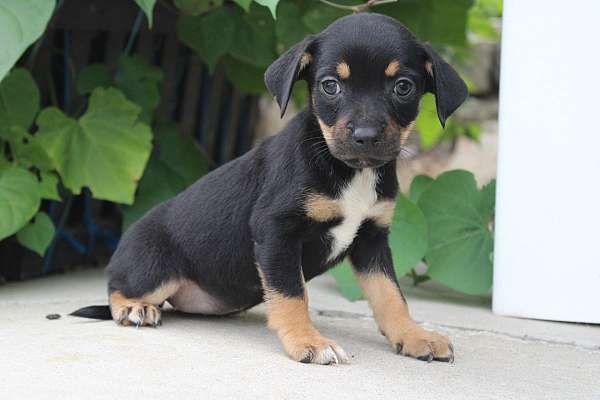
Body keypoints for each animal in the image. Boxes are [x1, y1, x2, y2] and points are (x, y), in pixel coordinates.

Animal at [72, 12, 468, 364]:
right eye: (330, 85)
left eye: (403, 87)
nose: (366, 137)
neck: (349, 172)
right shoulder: (277, 231)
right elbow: (293, 294)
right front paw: (308, 342)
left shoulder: (372, 240)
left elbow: (391, 296)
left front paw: (413, 336)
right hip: (154, 268)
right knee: (116, 287)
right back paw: (135, 308)